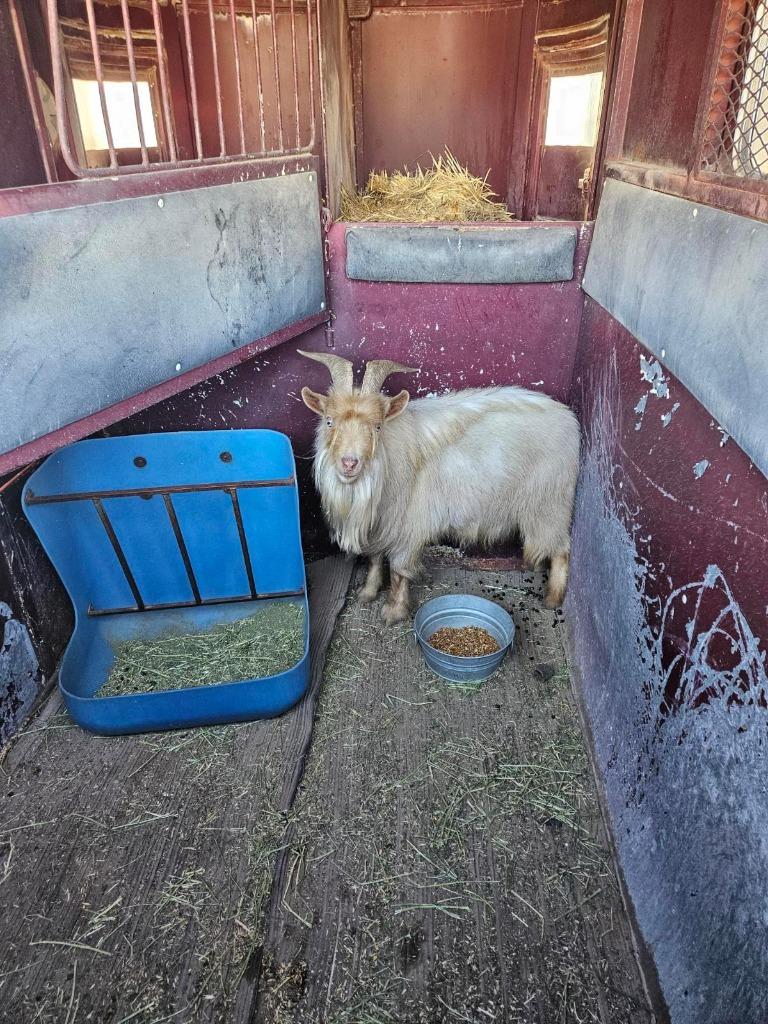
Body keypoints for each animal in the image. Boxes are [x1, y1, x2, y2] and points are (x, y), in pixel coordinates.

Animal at [299, 350, 580, 624]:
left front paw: (393, 612)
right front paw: (367, 592)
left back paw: (552, 599)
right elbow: (375, 559)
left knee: (562, 549)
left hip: (549, 504)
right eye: (329, 421)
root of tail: (569, 419)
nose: (349, 463)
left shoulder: (408, 526)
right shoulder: (380, 524)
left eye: (377, 426)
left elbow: (398, 569)